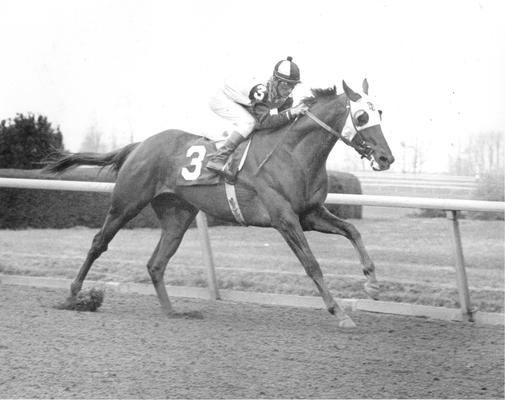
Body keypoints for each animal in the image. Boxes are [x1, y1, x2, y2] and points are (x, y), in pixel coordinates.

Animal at [44, 79, 394, 328]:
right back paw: (73, 295)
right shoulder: (285, 219)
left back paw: (172, 311)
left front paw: (373, 285)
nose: (385, 158)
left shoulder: (310, 214)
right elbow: (312, 265)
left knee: (156, 263)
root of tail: (140, 145)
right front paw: (340, 312)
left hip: (178, 216)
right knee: (98, 243)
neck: (293, 153)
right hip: (127, 202)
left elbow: (352, 231)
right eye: (361, 115)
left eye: (381, 112)